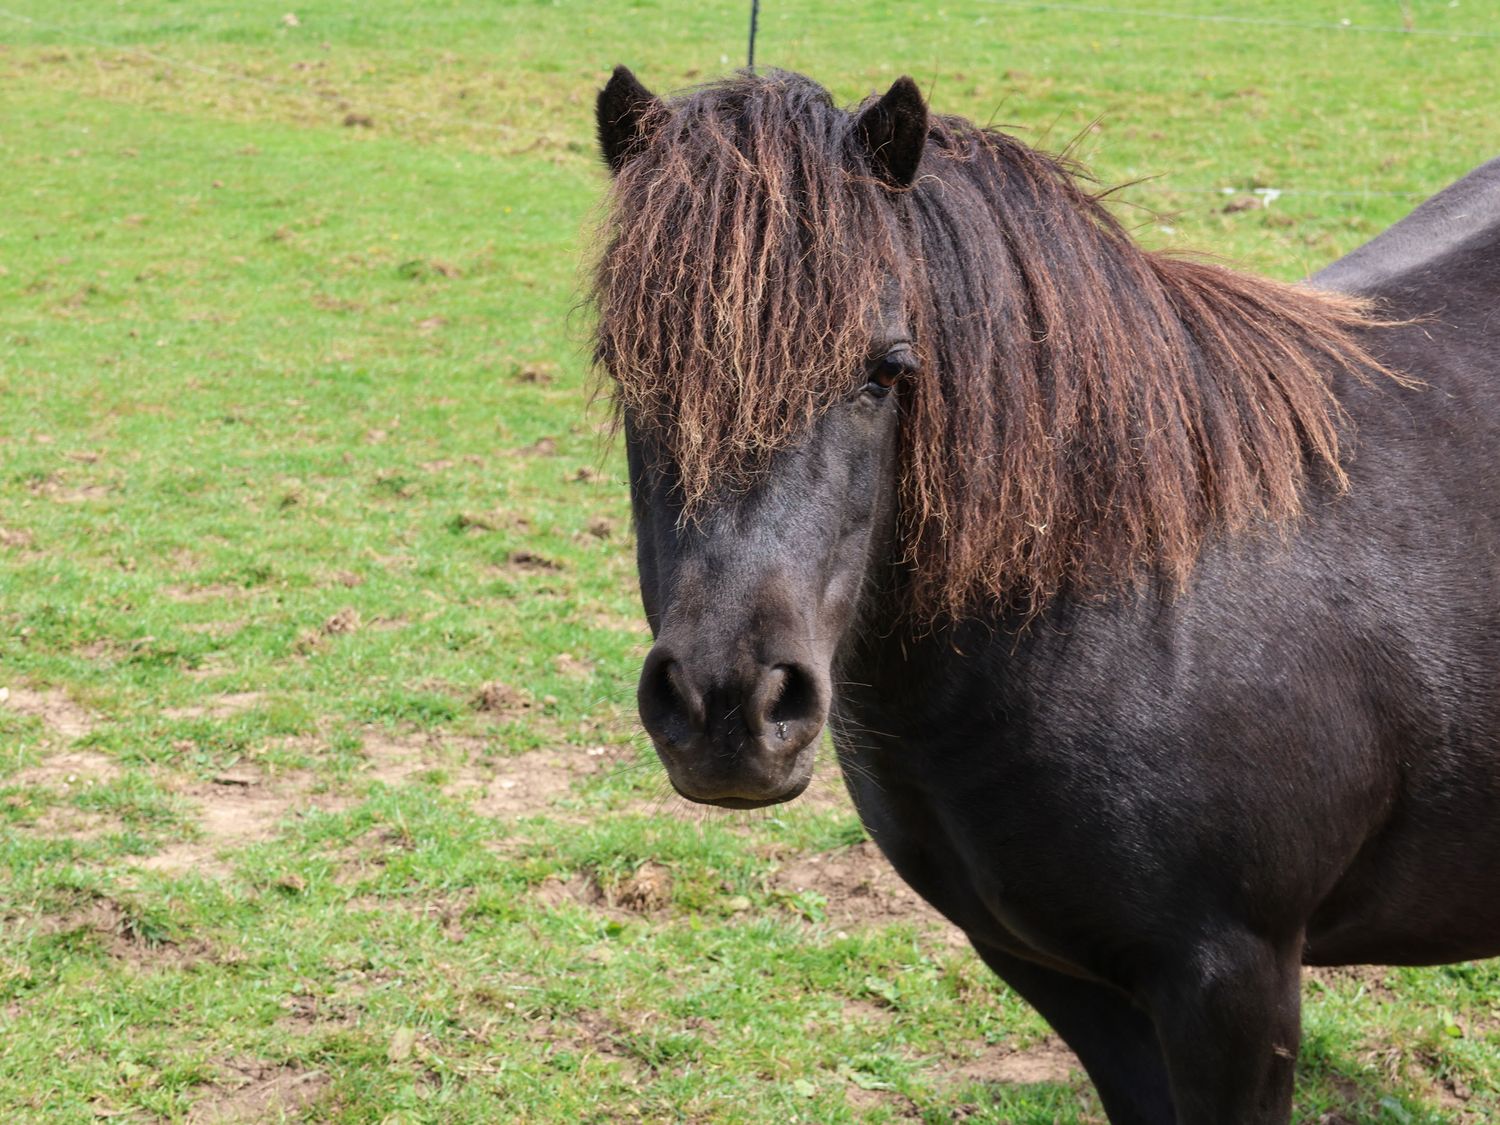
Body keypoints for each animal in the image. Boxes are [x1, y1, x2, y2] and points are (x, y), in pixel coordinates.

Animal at [585, 70, 1500, 1125]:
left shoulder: (1238, 983)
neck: (1129, 594)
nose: (727, 708)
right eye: (625, 363)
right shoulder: (1062, 975)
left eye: (886, 370)